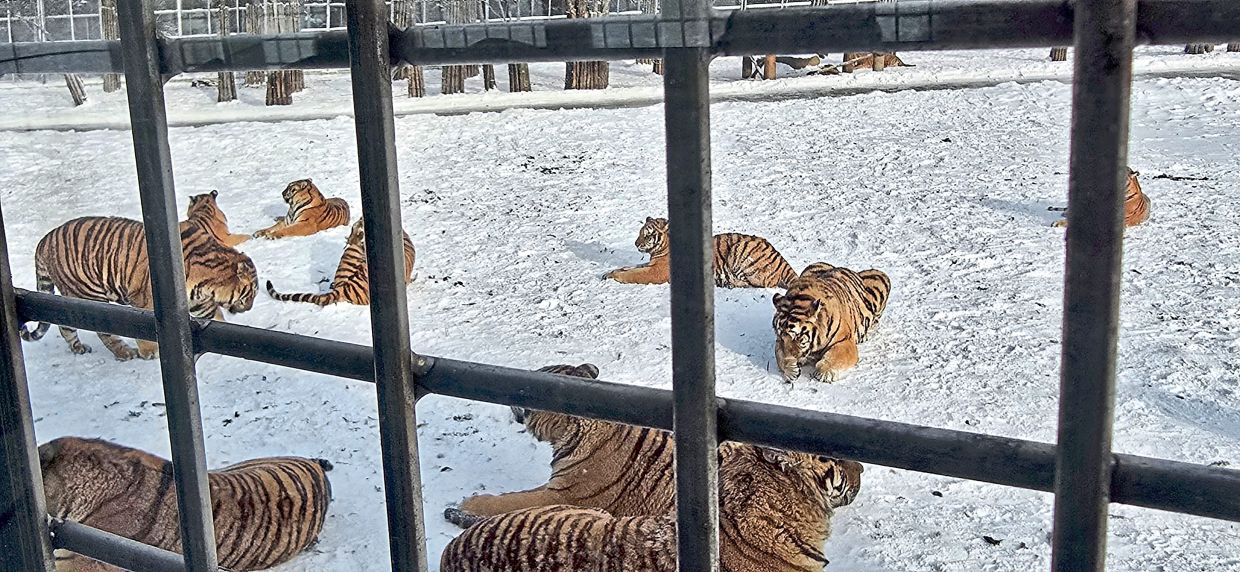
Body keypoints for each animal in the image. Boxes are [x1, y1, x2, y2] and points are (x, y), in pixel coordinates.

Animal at [21, 202, 259, 361]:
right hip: (87, 294)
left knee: (65, 325)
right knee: (102, 330)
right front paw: (149, 352)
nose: (249, 307)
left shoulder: (200, 303)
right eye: (252, 294)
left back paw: (79, 348)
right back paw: (125, 352)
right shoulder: (145, 300)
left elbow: (215, 317)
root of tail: (43, 241)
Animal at [604, 217, 798, 289]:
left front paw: (616, 276)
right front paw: (609, 272)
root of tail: (781, 259)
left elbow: (634, 274)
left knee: (762, 285)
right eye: (639, 232)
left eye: (648, 234)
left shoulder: (657, 271)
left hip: (740, 252)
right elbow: (631, 267)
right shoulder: (650, 264)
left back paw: (729, 283)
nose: (636, 243)